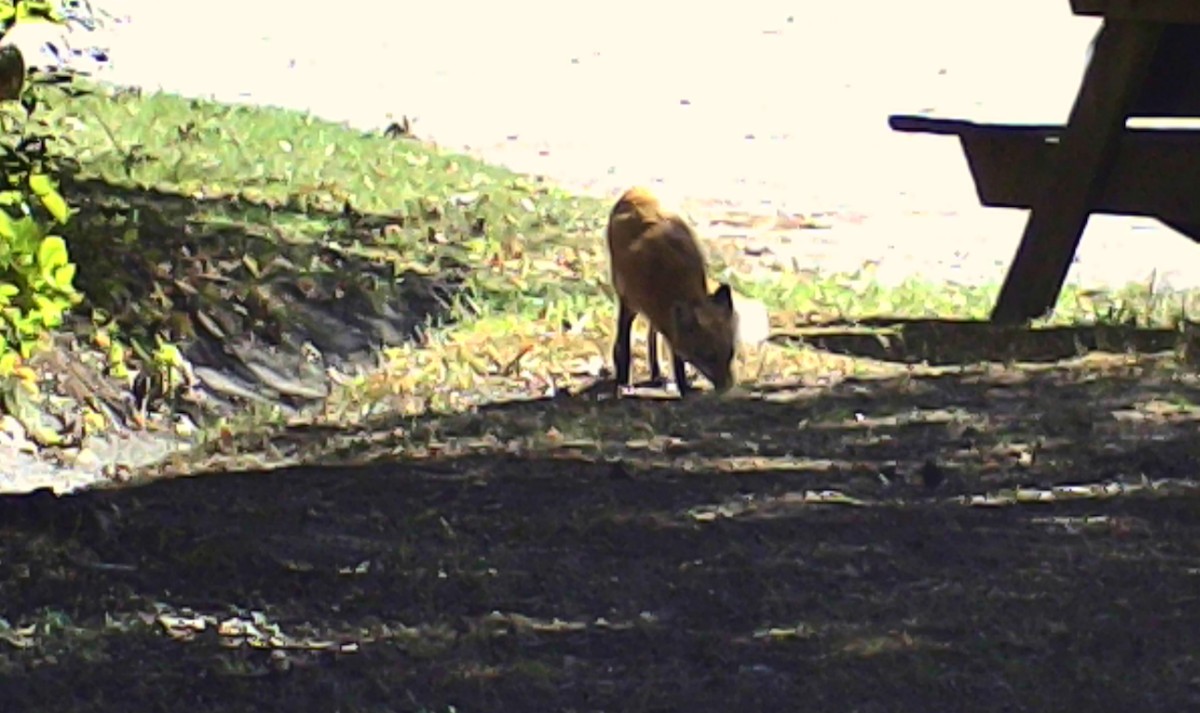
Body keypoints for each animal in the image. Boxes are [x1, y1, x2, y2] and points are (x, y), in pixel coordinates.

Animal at [606, 186, 739, 398]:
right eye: (707, 356)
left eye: (730, 352)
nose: (727, 387)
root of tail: (635, 189)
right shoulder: (629, 304)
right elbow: (623, 347)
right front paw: (623, 382)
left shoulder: (667, 319)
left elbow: (676, 354)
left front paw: (683, 384)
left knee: (653, 335)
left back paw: (657, 373)